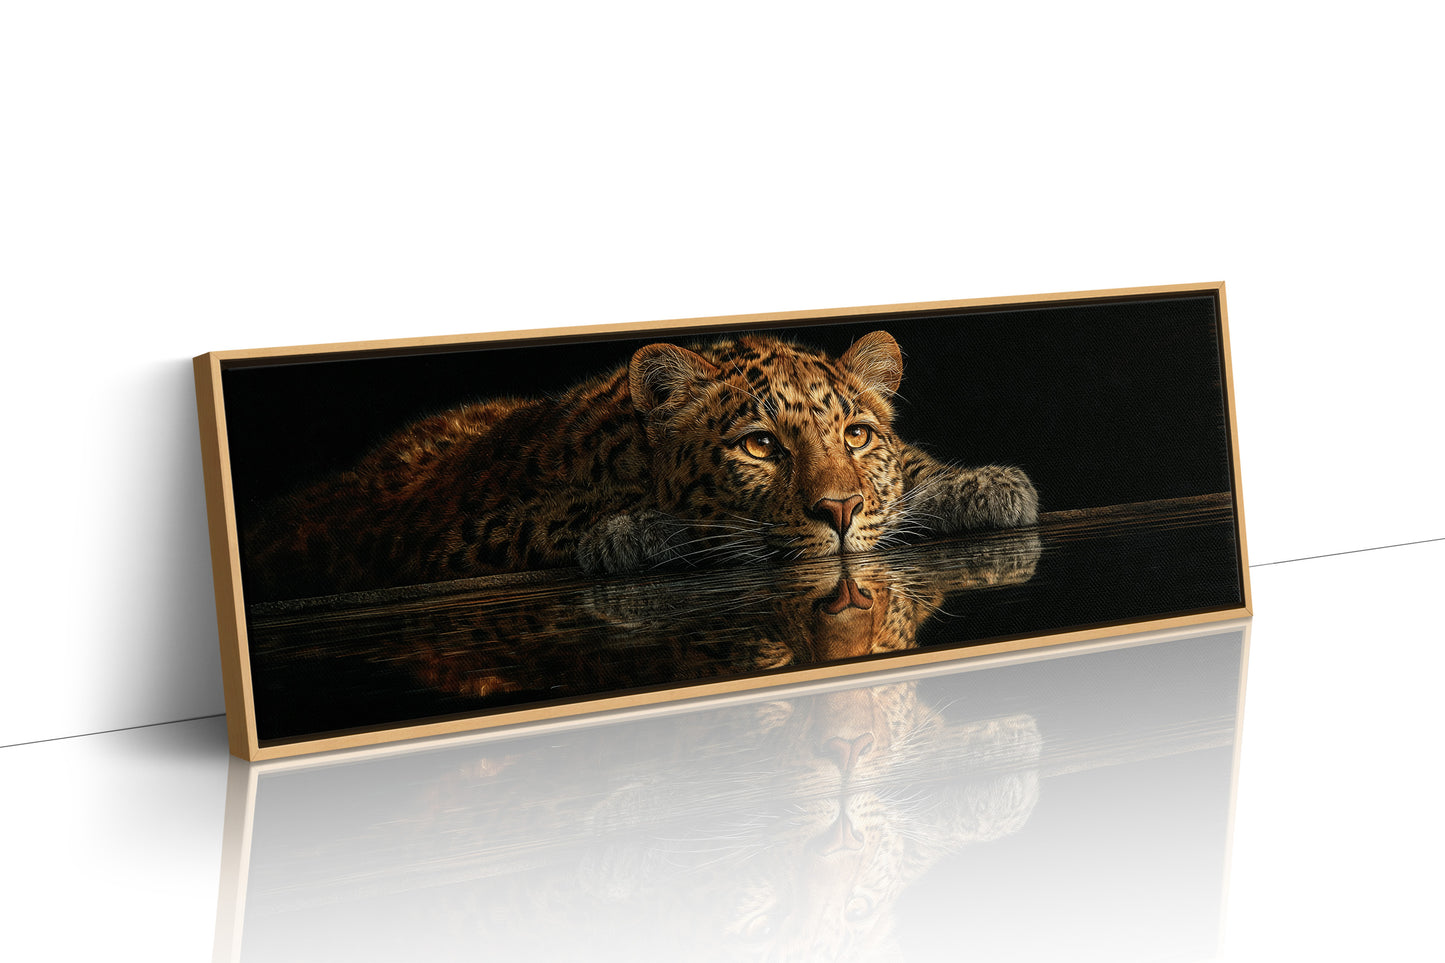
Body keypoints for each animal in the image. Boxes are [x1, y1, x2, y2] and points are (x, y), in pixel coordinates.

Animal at [243, 328, 1038, 603]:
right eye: (759, 446)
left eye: (857, 435)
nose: (837, 511)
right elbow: (565, 512)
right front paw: (642, 531)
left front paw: (983, 486)